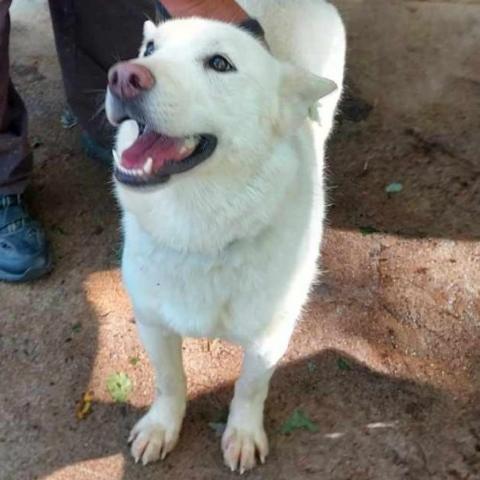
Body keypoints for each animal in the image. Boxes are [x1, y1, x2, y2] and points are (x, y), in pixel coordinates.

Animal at [105, 0, 344, 472]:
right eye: (150, 48)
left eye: (220, 64)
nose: (123, 76)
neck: (200, 234)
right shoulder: (152, 322)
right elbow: (169, 381)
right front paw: (162, 426)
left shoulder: (269, 340)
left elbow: (250, 390)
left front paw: (244, 434)